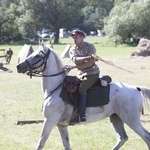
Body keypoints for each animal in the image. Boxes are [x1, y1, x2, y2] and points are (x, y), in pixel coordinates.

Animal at [16, 44, 150, 150]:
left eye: (37, 56)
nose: (18, 66)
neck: (55, 88)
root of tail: (136, 88)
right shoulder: (61, 125)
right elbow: (66, 145)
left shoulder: (49, 121)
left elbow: (40, 143)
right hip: (116, 118)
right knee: (122, 138)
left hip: (131, 119)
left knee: (146, 136)